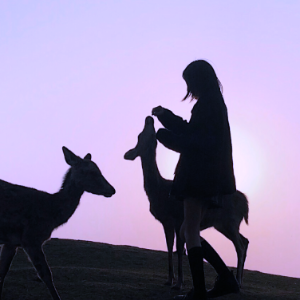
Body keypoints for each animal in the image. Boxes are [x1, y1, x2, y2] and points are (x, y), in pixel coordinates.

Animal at [0, 146, 115, 298]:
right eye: (91, 171)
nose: (112, 189)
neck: (51, 213)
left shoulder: (11, 242)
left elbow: (2, 273)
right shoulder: (31, 238)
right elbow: (46, 275)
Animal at [123, 116, 248, 288]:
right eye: (140, 136)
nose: (149, 118)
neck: (158, 192)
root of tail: (246, 204)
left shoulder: (178, 218)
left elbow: (179, 248)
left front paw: (179, 282)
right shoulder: (166, 221)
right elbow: (169, 247)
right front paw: (169, 279)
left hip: (230, 221)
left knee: (240, 246)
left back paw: (239, 281)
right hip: (224, 224)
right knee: (245, 241)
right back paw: (237, 278)